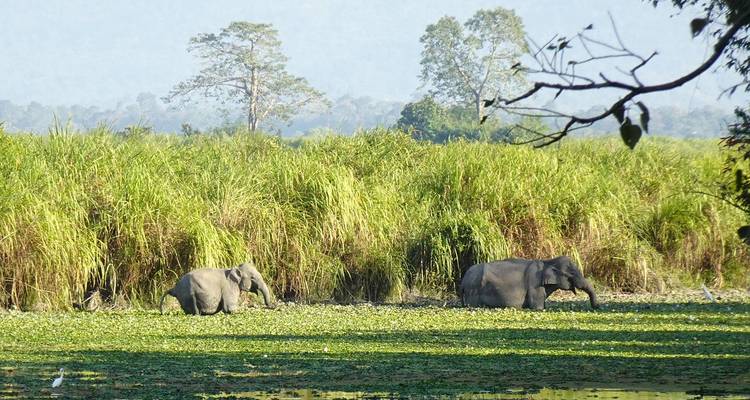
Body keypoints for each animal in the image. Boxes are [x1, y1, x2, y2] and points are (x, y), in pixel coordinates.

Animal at [459, 256, 599, 310]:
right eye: (572, 274)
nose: (597, 307)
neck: (548, 261)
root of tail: (463, 280)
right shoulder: (535, 284)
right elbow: (537, 306)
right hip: (474, 290)